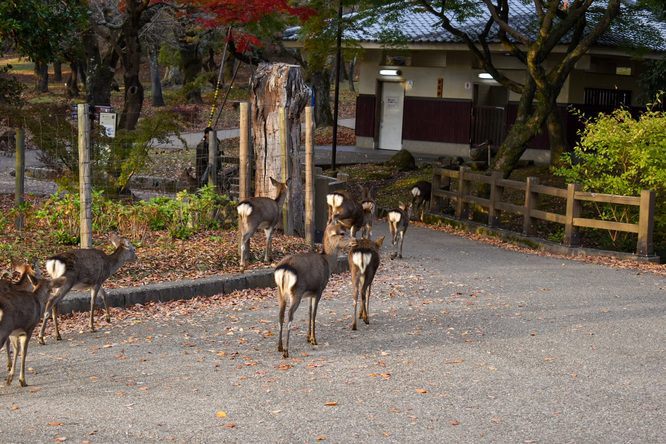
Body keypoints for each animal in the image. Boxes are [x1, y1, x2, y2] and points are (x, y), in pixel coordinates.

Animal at [272, 224, 350, 360]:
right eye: (342, 233)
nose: (355, 240)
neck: (327, 263)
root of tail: (284, 269)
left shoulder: (309, 293)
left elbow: (308, 312)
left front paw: (308, 337)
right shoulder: (319, 289)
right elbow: (314, 313)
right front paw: (314, 339)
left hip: (280, 292)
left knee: (280, 314)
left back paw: (279, 347)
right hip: (297, 290)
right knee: (289, 314)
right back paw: (286, 351)